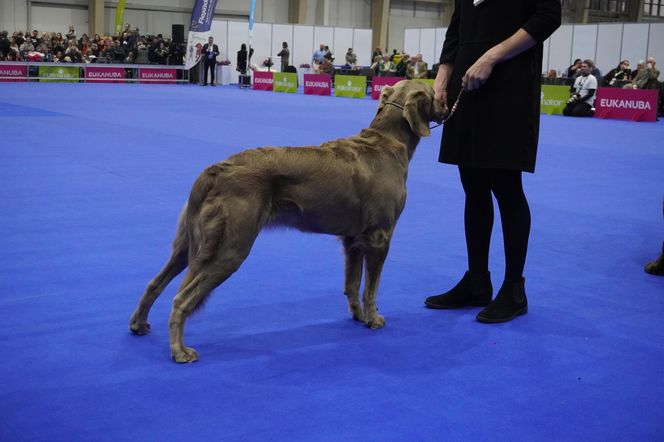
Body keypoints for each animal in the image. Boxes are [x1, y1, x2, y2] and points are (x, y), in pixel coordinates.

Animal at [130, 80, 446, 362]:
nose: (446, 103)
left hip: (189, 242)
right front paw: (373, 318)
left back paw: (139, 324)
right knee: (181, 299)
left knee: (154, 282)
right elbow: (371, 287)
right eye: (434, 93)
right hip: (231, 245)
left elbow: (352, 283)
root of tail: (213, 171)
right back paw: (180, 351)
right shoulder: (380, 235)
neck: (387, 142)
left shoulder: (353, 239)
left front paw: (357, 315)